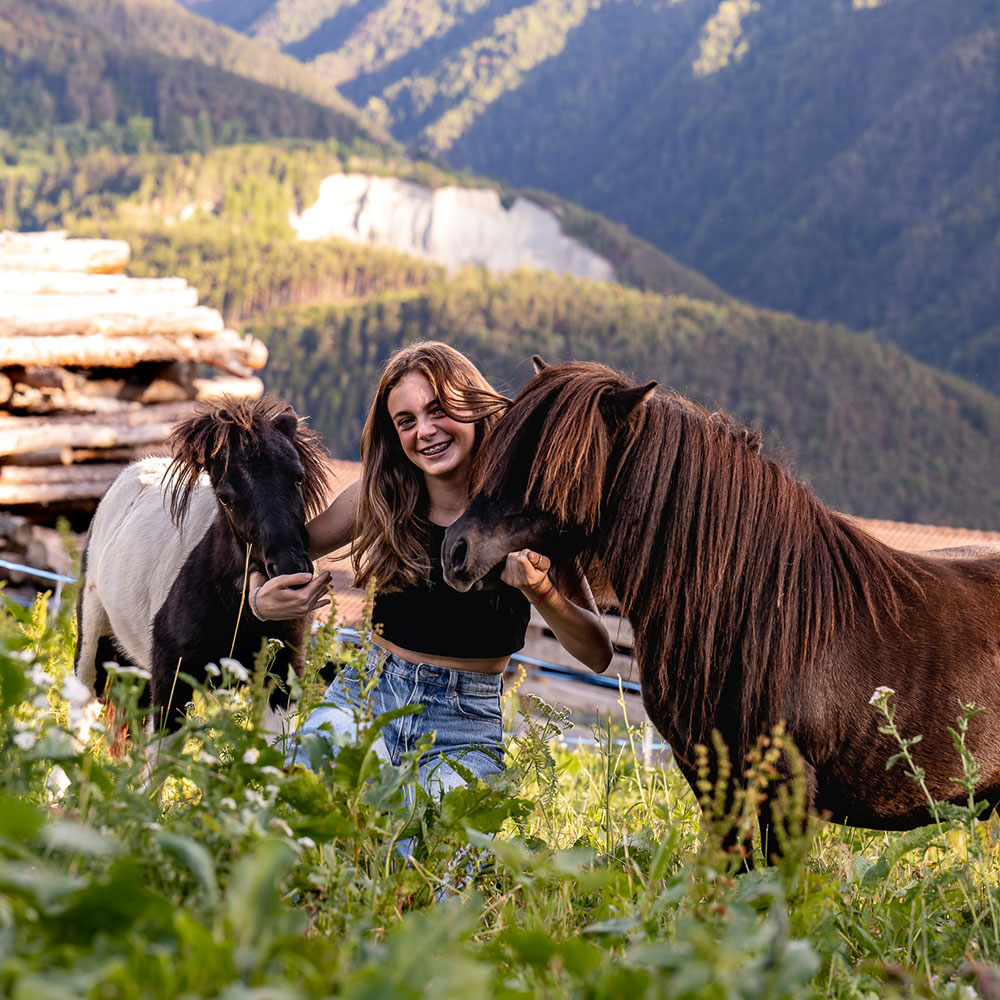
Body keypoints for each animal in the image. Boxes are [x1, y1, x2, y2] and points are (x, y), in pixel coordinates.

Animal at [76, 398, 332, 744]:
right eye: (225, 497)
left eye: (299, 477)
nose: (290, 570)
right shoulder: (171, 676)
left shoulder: (280, 678)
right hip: (92, 645)